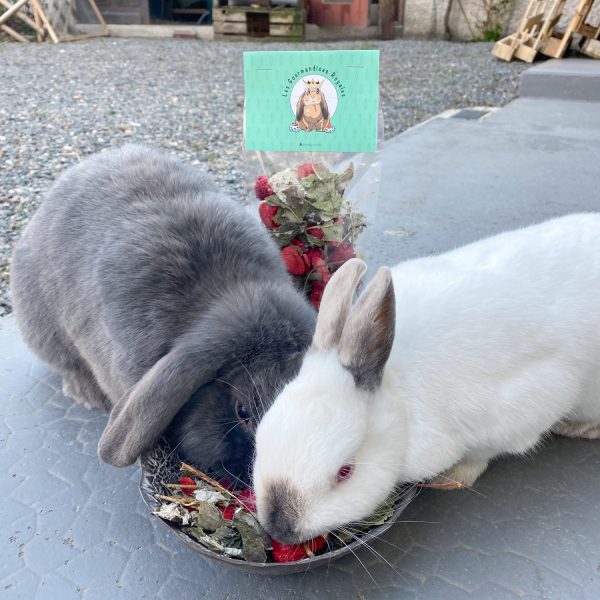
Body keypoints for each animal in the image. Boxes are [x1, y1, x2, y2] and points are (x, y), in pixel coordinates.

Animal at [254, 213, 600, 540]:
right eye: (262, 434)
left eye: (345, 472)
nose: (279, 528)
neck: (401, 404)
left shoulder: (522, 411)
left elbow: (478, 459)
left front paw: (447, 479)